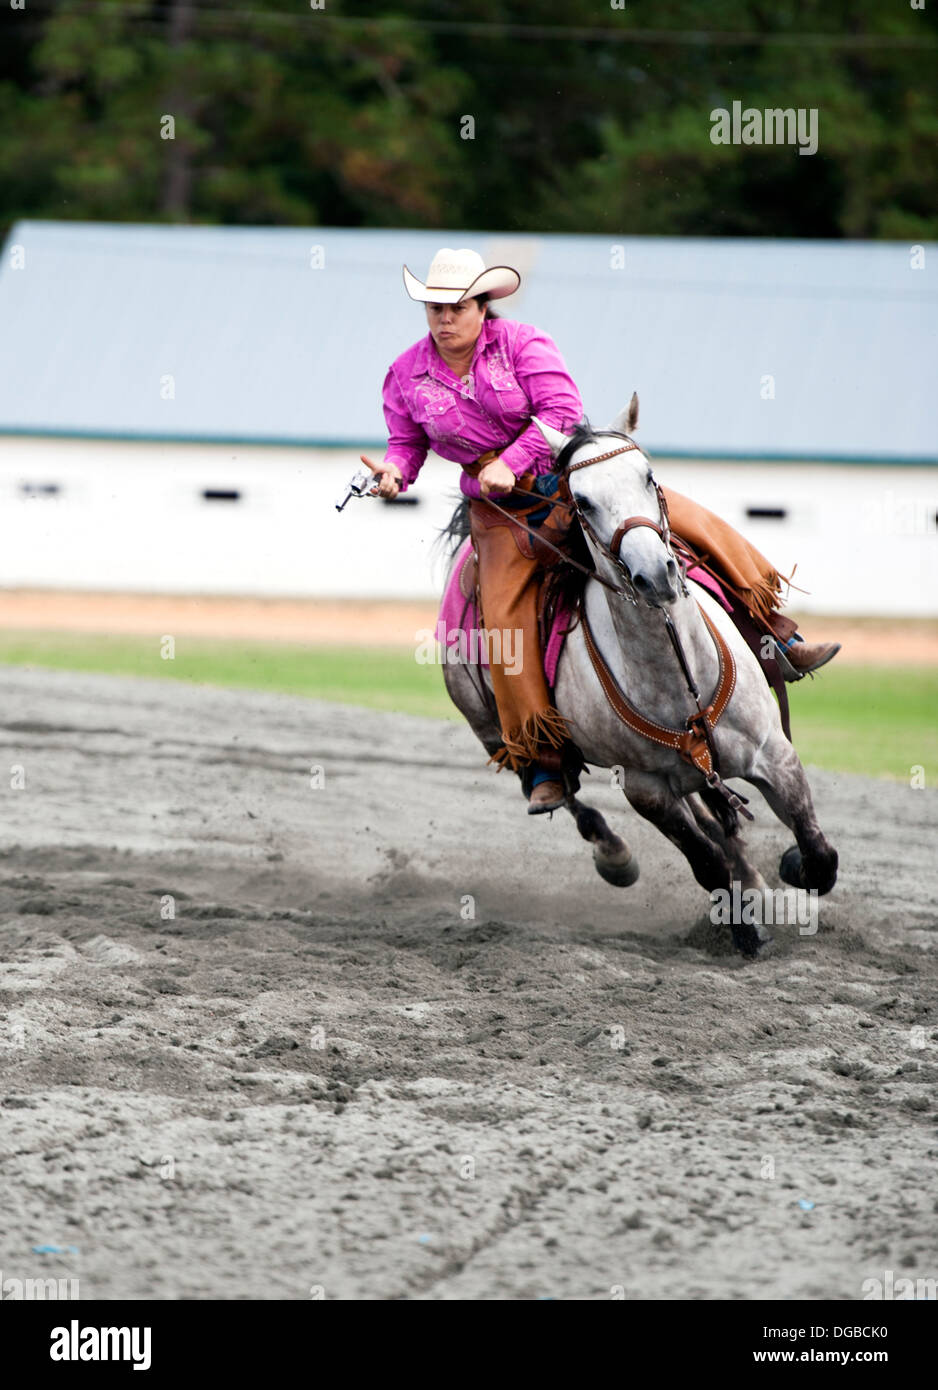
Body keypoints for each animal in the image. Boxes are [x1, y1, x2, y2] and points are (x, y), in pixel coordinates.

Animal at [444, 403, 839, 956]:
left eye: (648, 476)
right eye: (582, 500)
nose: (655, 574)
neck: (675, 672)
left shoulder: (775, 756)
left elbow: (817, 851)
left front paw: (788, 867)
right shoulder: (647, 790)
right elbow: (706, 861)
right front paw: (745, 933)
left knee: (717, 818)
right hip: (498, 732)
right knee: (567, 795)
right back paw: (614, 855)